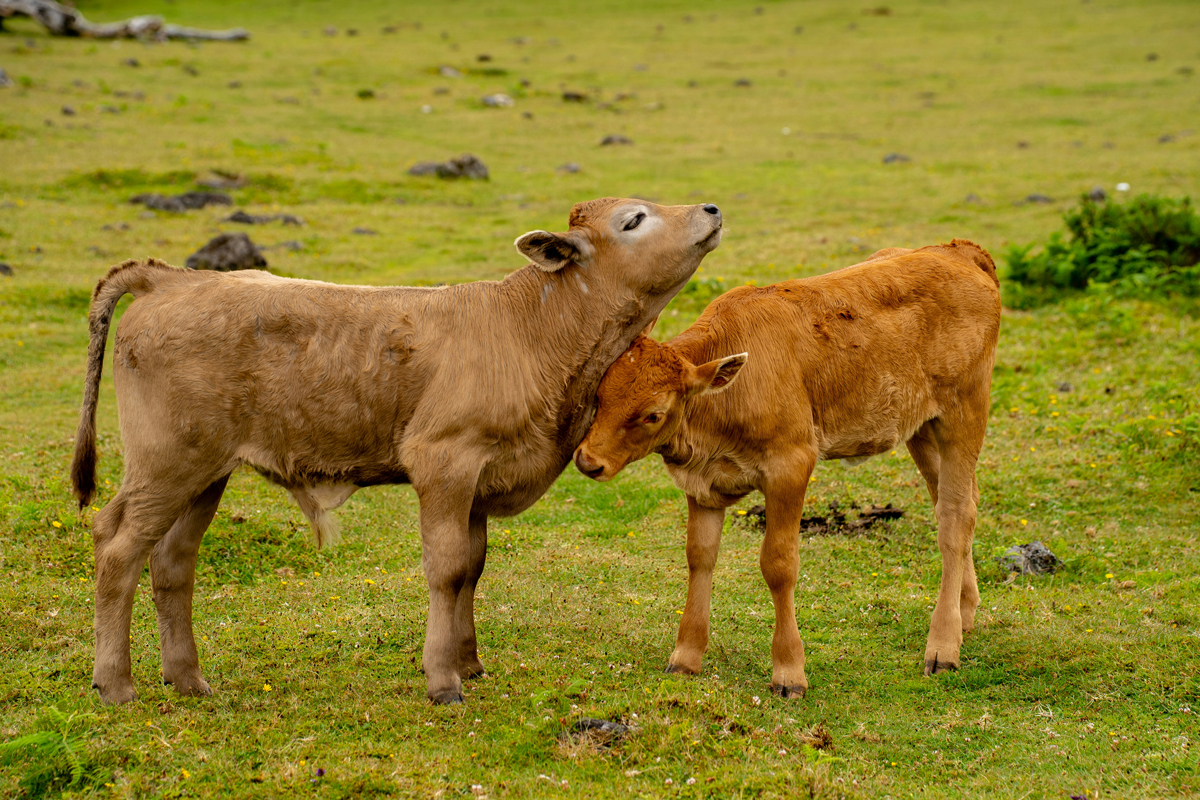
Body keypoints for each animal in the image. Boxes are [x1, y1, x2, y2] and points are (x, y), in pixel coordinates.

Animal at [70, 197, 724, 705]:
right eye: (633, 219)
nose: (711, 209)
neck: (535, 332)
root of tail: (176, 277)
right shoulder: (444, 460)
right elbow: (447, 567)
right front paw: (443, 679)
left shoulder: (479, 482)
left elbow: (472, 567)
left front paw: (468, 661)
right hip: (165, 464)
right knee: (117, 547)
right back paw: (116, 684)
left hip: (206, 471)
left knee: (171, 561)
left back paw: (187, 678)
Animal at [573, 240, 1001, 698]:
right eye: (600, 394)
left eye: (652, 414)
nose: (588, 460)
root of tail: (957, 250)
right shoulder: (702, 484)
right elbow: (699, 556)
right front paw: (686, 655)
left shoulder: (791, 464)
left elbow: (778, 565)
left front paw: (789, 671)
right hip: (919, 424)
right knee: (957, 499)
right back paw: (964, 612)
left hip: (965, 409)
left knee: (955, 515)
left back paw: (943, 646)